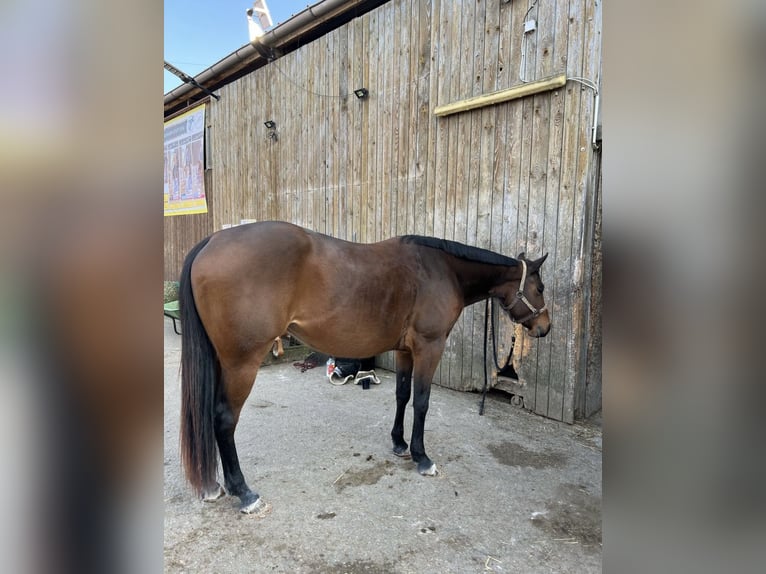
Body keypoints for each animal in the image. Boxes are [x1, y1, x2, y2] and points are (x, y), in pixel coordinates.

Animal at [179, 221, 550, 514]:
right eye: (540, 287)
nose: (545, 328)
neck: (441, 269)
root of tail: (212, 241)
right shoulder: (429, 347)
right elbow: (422, 401)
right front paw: (422, 457)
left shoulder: (405, 350)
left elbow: (402, 395)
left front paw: (399, 444)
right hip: (241, 364)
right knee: (225, 420)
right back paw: (243, 492)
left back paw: (214, 486)